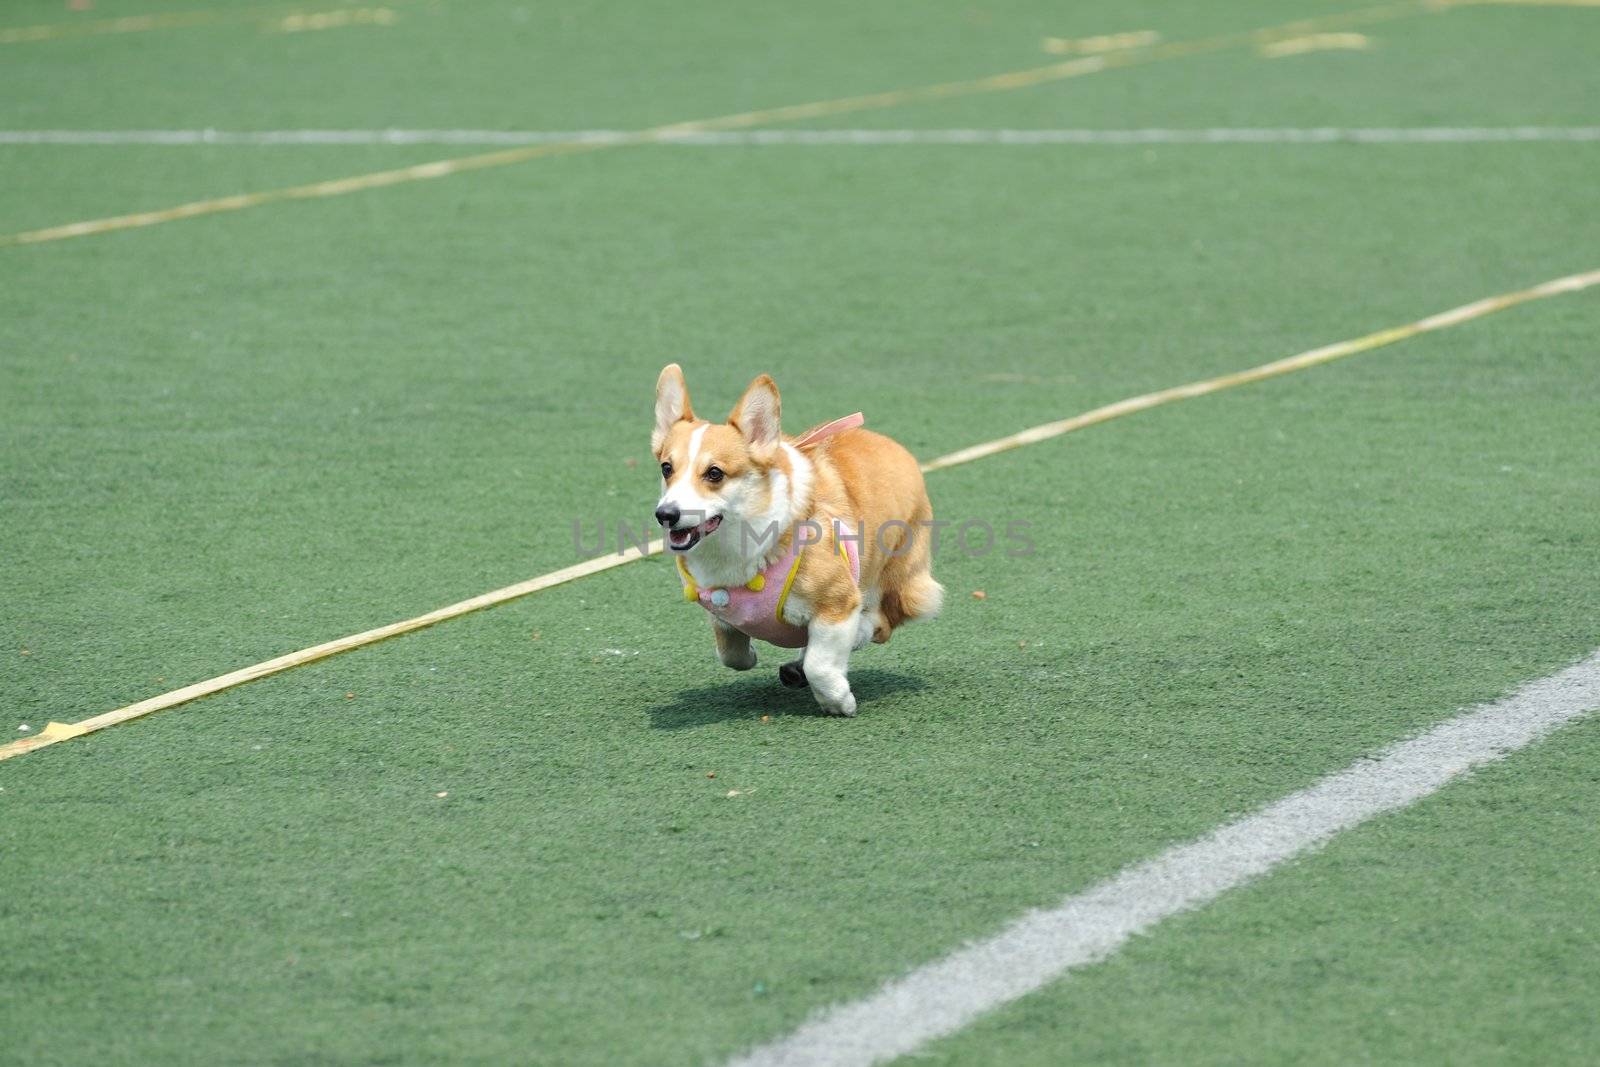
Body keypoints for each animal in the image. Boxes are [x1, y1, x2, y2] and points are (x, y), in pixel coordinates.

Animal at [649, 364, 940, 716]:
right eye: (667, 468)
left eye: (714, 473)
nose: (665, 514)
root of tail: (894, 446)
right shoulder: (721, 613)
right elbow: (731, 654)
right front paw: (751, 656)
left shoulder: (836, 604)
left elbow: (820, 664)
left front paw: (837, 701)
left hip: (897, 577)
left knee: (881, 621)